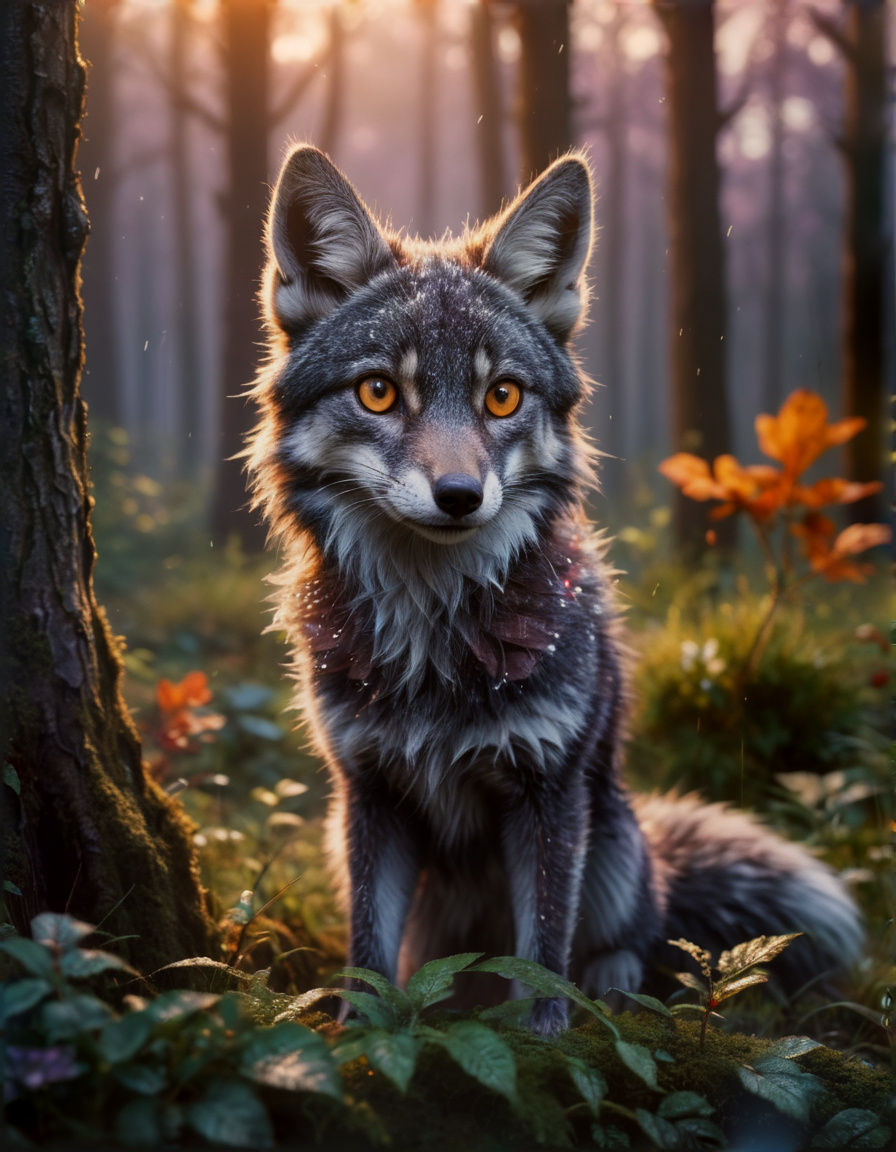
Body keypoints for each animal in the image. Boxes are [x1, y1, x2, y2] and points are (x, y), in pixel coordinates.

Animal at [247, 145, 862, 1034]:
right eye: (378, 392)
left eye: (502, 395)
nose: (460, 496)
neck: (435, 639)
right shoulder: (370, 792)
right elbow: (369, 953)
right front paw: (359, 1040)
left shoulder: (547, 789)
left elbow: (541, 956)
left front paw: (548, 1043)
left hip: (610, 839)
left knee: (632, 938)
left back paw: (613, 986)